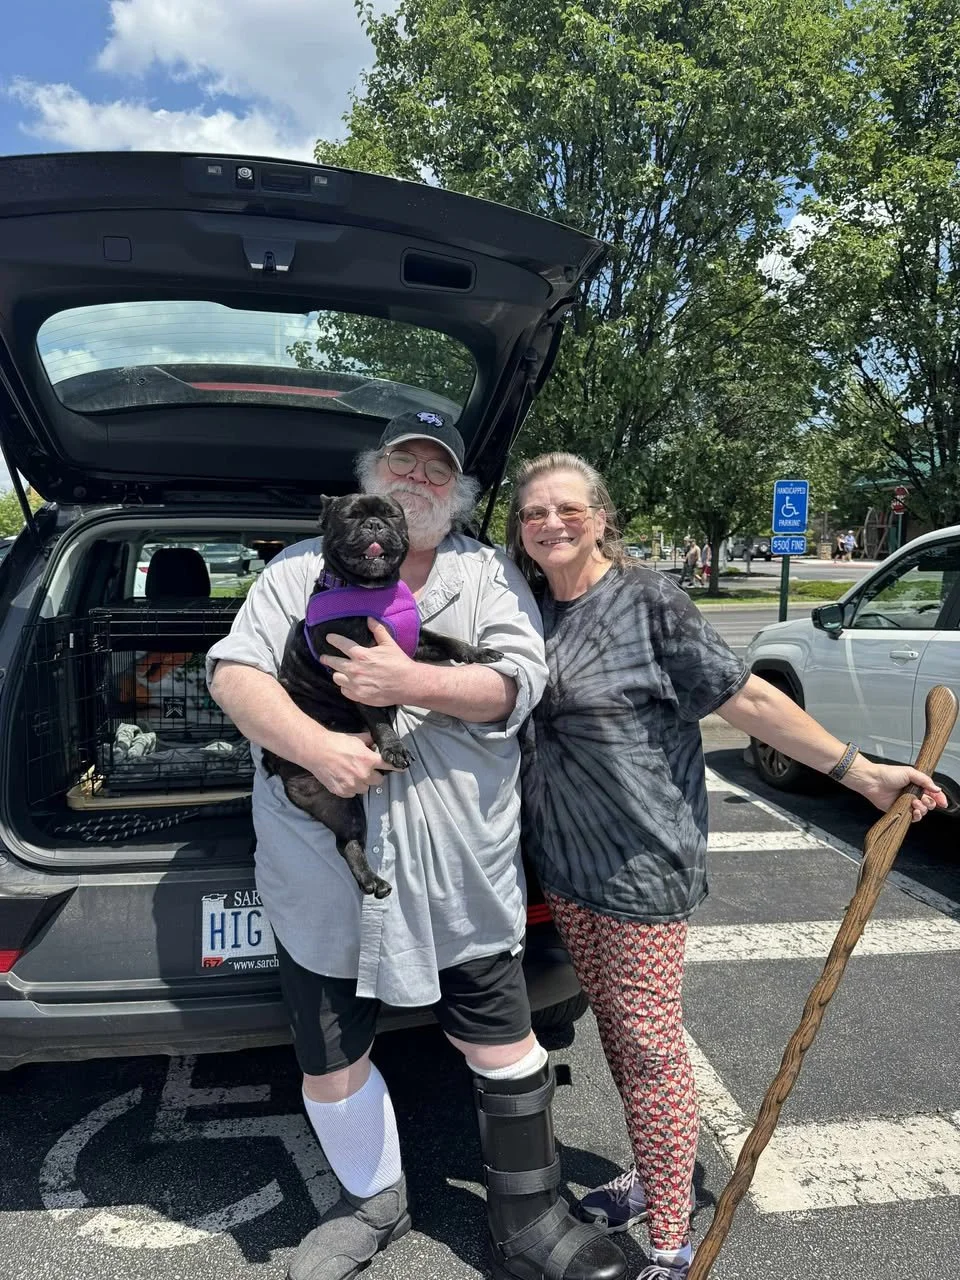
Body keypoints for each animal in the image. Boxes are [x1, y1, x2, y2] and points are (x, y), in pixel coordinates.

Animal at [261, 493, 503, 898]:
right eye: (349, 517)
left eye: (392, 514)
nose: (374, 524)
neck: (371, 591)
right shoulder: (358, 671)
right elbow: (376, 716)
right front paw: (393, 746)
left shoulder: (415, 644)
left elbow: (447, 641)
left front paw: (478, 652)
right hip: (332, 797)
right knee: (347, 842)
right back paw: (373, 878)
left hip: (340, 805)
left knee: (346, 841)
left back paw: (372, 881)